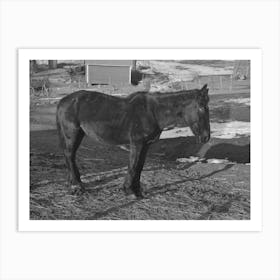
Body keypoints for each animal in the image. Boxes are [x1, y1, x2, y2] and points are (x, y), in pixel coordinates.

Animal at [56, 84, 210, 198]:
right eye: (202, 108)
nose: (206, 137)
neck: (153, 111)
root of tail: (63, 101)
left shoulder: (146, 145)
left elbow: (139, 166)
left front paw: (137, 190)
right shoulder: (137, 144)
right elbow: (134, 166)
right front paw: (129, 191)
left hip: (78, 135)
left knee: (70, 156)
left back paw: (74, 182)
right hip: (72, 135)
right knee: (69, 155)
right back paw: (77, 186)